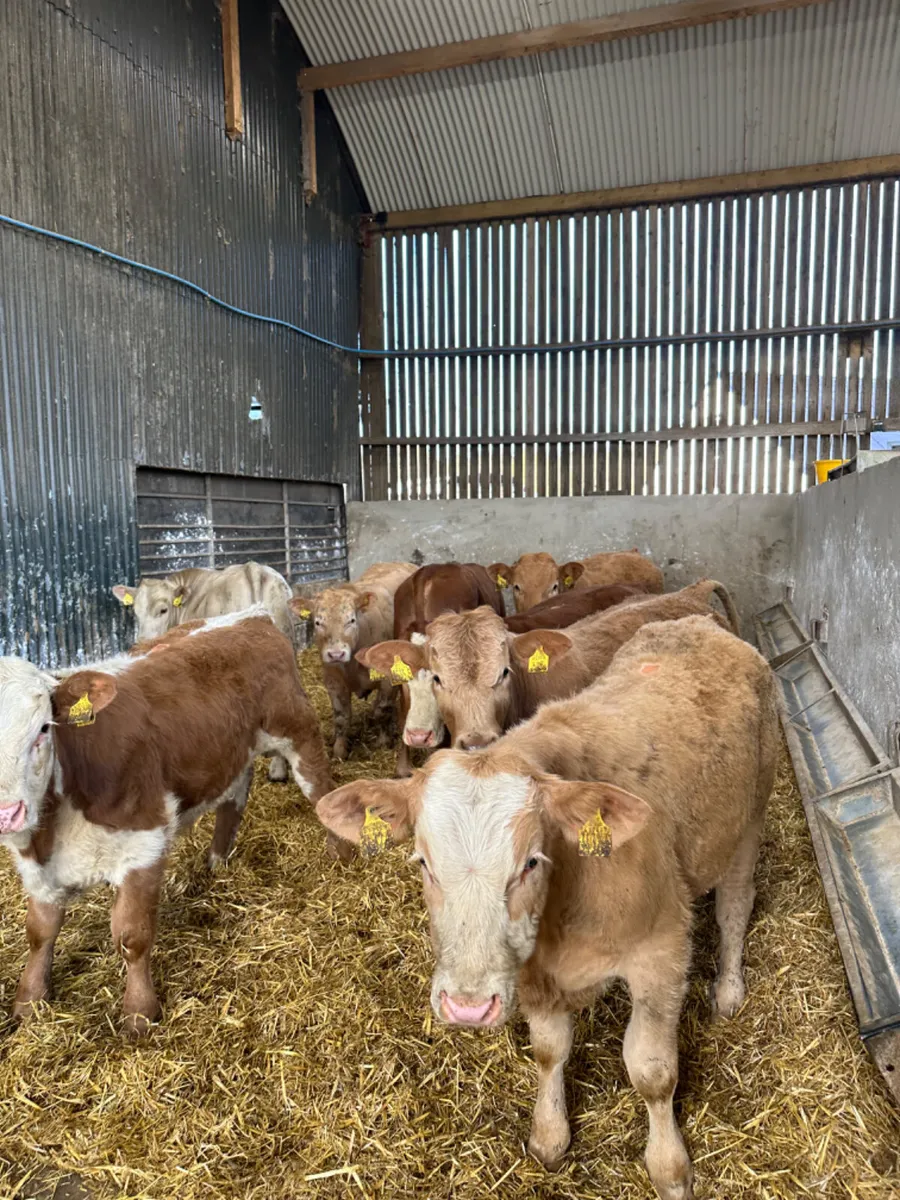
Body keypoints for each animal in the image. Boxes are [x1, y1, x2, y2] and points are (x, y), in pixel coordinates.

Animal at [0, 610, 335, 1038]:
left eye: (43, 728)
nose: (8, 813)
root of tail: (250, 616)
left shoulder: (145, 843)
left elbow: (132, 936)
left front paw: (139, 1014)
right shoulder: (37, 867)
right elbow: (39, 932)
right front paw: (29, 1003)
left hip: (297, 730)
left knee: (322, 790)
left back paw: (342, 854)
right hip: (231, 754)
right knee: (233, 802)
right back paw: (217, 863)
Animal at [291, 562, 417, 760]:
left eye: (351, 620)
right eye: (318, 622)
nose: (336, 654)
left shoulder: (389, 679)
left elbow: (382, 710)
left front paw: (383, 742)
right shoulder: (333, 680)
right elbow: (341, 717)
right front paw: (339, 750)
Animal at [315, 616, 779, 1200]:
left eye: (531, 862)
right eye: (422, 862)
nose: (467, 1008)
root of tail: (699, 623)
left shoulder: (661, 949)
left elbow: (652, 1071)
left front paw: (670, 1167)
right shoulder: (530, 972)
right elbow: (549, 1051)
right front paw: (550, 1135)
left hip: (750, 817)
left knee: (735, 907)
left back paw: (728, 990)